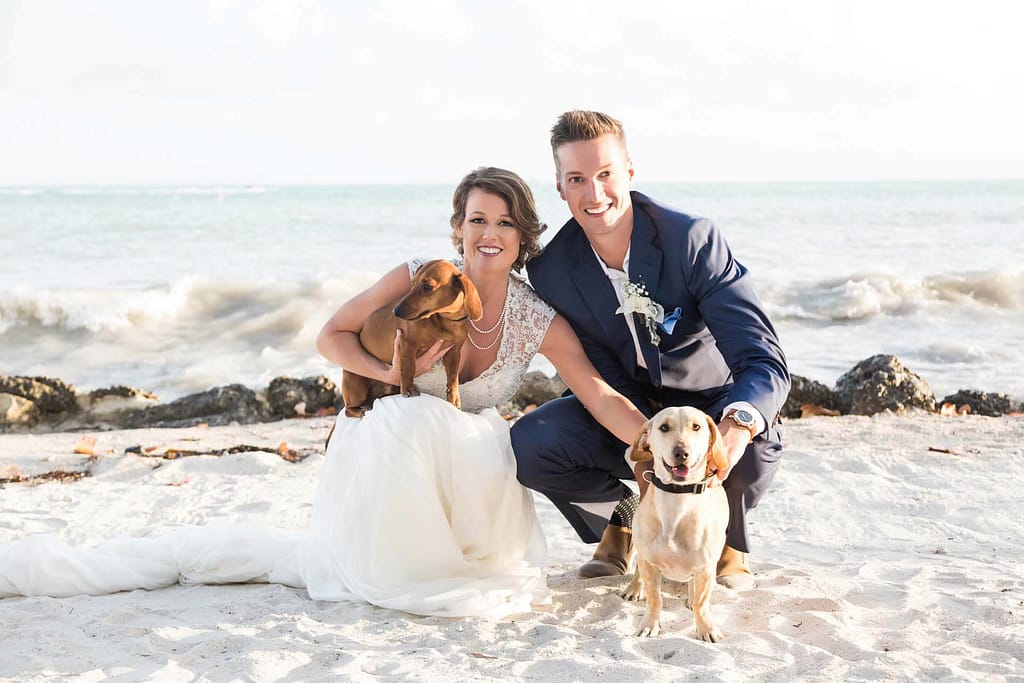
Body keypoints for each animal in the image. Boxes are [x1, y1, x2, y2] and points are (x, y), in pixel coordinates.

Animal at [618, 405, 733, 643]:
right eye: (664, 427)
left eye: (696, 427)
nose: (682, 453)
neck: (677, 498)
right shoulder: (649, 563)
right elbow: (655, 598)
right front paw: (649, 625)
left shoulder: (705, 567)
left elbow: (701, 602)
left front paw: (706, 628)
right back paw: (634, 587)